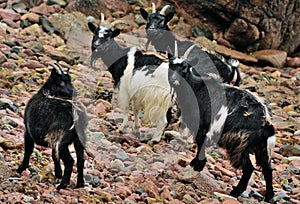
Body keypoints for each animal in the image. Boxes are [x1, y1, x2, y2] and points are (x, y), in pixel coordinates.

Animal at [168, 42, 276, 202]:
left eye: (185, 67)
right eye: (170, 64)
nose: (174, 80)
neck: (196, 88)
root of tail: (265, 123)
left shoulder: (203, 124)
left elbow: (200, 143)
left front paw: (197, 165)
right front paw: (195, 163)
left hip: (239, 143)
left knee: (249, 168)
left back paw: (236, 192)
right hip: (261, 147)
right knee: (267, 168)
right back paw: (268, 196)